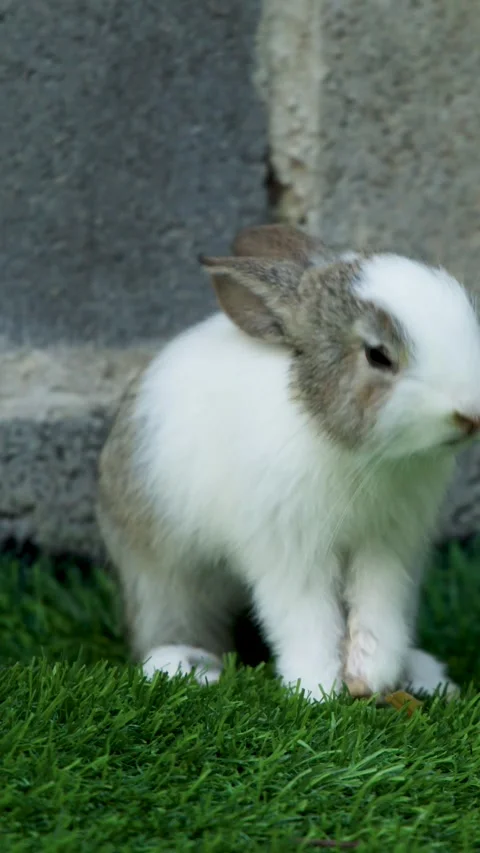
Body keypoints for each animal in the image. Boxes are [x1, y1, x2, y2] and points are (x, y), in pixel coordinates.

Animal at [96, 223, 479, 701]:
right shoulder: (291, 550)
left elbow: (377, 611)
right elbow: (307, 619)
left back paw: (423, 676)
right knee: (165, 625)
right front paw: (316, 689)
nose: (470, 413)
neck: (362, 454)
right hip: (162, 575)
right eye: (377, 355)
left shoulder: (388, 546)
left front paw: (369, 676)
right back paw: (186, 666)